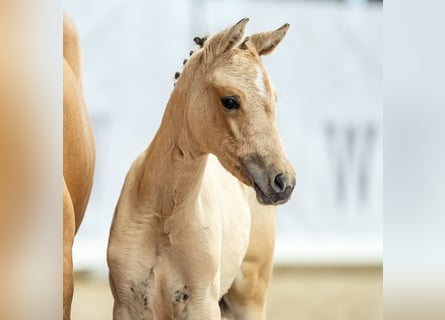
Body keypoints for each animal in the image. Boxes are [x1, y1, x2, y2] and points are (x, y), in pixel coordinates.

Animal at [107, 18, 294, 318]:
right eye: (230, 100)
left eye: (273, 99)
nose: (283, 181)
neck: (164, 217)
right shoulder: (128, 305)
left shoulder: (201, 305)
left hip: (250, 298)